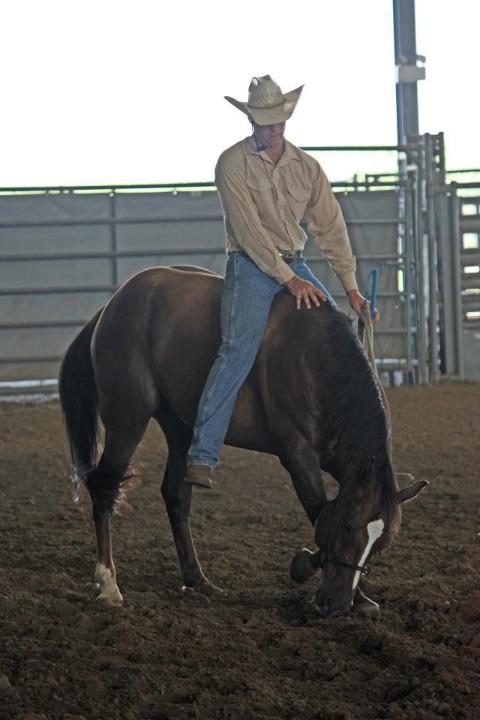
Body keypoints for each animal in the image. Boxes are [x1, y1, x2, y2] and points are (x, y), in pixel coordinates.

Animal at [58, 268, 426, 616]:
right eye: (348, 526)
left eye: (382, 544)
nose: (335, 604)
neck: (313, 360)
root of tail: (112, 306)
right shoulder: (298, 457)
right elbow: (318, 512)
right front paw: (312, 569)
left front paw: (358, 597)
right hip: (128, 419)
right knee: (105, 485)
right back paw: (108, 583)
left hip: (180, 428)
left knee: (176, 496)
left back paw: (197, 579)